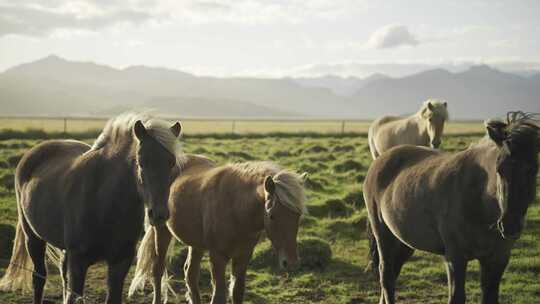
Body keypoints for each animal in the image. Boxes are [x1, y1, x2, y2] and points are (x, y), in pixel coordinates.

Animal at [0, 113, 184, 302]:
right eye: (141, 162)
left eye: (172, 163)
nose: (159, 214)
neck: (105, 204)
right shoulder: (79, 261)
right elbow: (74, 295)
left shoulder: (120, 262)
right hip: (33, 237)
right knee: (39, 277)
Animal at [125, 157, 306, 304]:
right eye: (272, 216)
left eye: (298, 215)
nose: (291, 263)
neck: (235, 207)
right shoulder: (218, 257)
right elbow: (219, 296)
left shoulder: (243, 256)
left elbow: (237, 292)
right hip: (162, 231)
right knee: (158, 269)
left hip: (196, 244)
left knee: (190, 274)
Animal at [364, 112, 536, 304]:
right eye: (499, 170)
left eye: (532, 170)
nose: (510, 225)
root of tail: (380, 161)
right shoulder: (455, 258)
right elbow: (457, 297)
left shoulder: (498, 259)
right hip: (383, 235)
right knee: (386, 274)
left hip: (403, 240)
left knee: (393, 272)